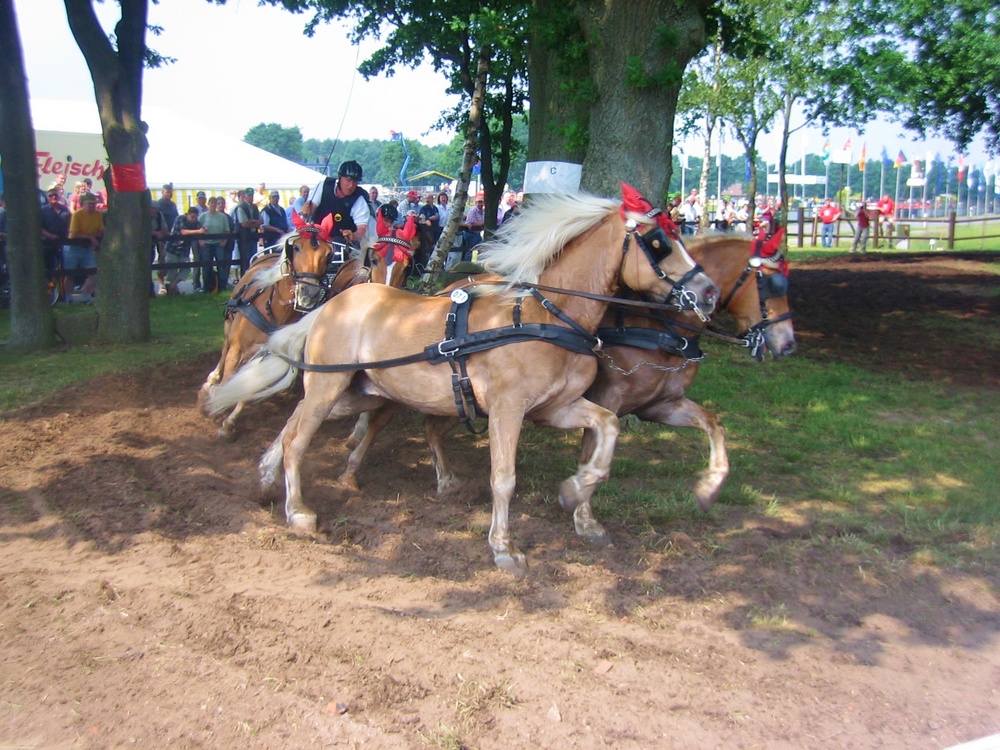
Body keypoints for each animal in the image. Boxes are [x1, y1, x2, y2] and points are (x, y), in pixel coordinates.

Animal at [196, 214, 368, 440]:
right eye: (297, 248)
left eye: (328, 253)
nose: (309, 293)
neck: (274, 309)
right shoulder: (237, 347)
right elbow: (228, 378)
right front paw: (213, 403)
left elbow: (247, 389)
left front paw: (229, 422)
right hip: (230, 326)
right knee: (224, 351)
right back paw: (210, 383)